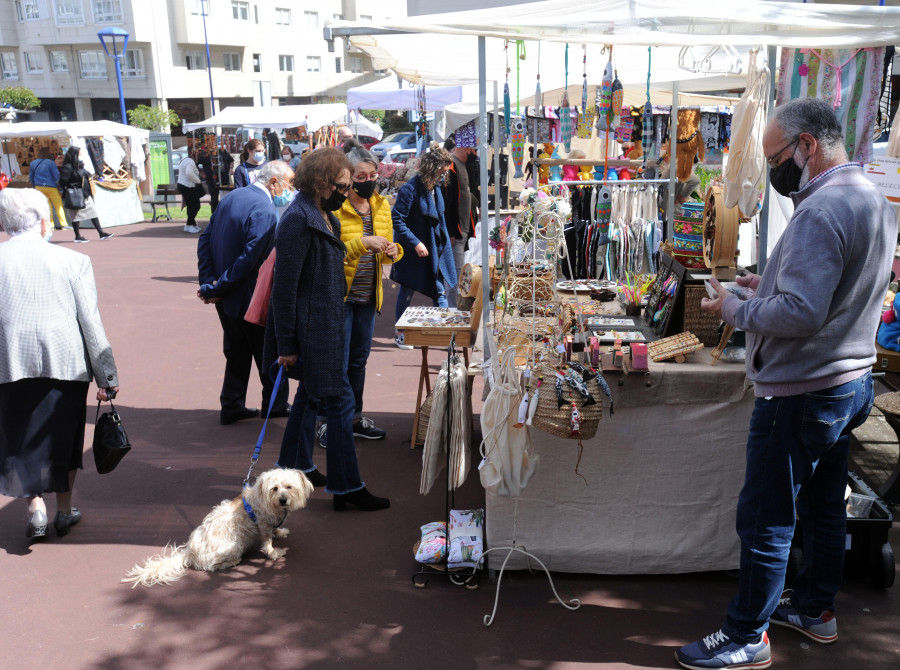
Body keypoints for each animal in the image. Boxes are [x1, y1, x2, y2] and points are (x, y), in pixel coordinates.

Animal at [123, 472, 312, 588]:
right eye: (274, 488)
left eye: (289, 487)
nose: (283, 500)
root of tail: (189, 552)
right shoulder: (263, 525)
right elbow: (268, 541)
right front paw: (274, 553)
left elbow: (275, 531)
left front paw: (281, 532)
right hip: (234, 546)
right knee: (211, 567)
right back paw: (233, 562)